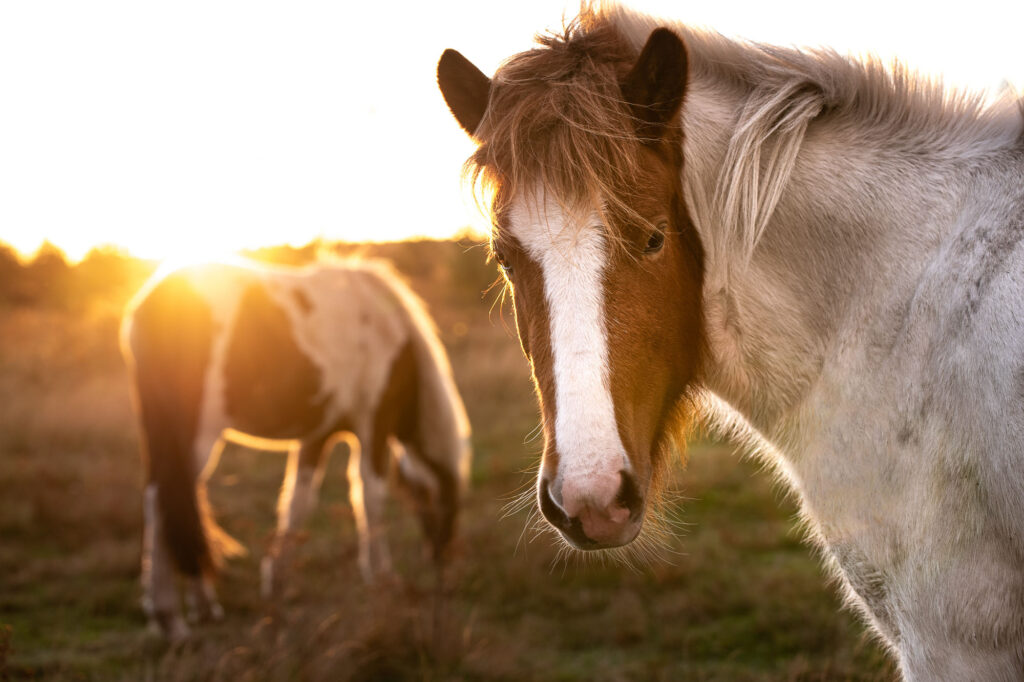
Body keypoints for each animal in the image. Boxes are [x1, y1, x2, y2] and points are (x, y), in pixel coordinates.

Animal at [121, 258, 471, 641]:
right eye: (447, 503)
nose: (443, 559)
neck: (397, 340)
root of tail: (151, 303)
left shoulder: (318, 436)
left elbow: (297, 502)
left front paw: (276, 579)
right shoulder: (374, 424)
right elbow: (369, 497)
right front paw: (381, 576)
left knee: (175, 503)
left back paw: (201, 607)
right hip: (196, 437)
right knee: (166, 503)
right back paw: (171, 620)